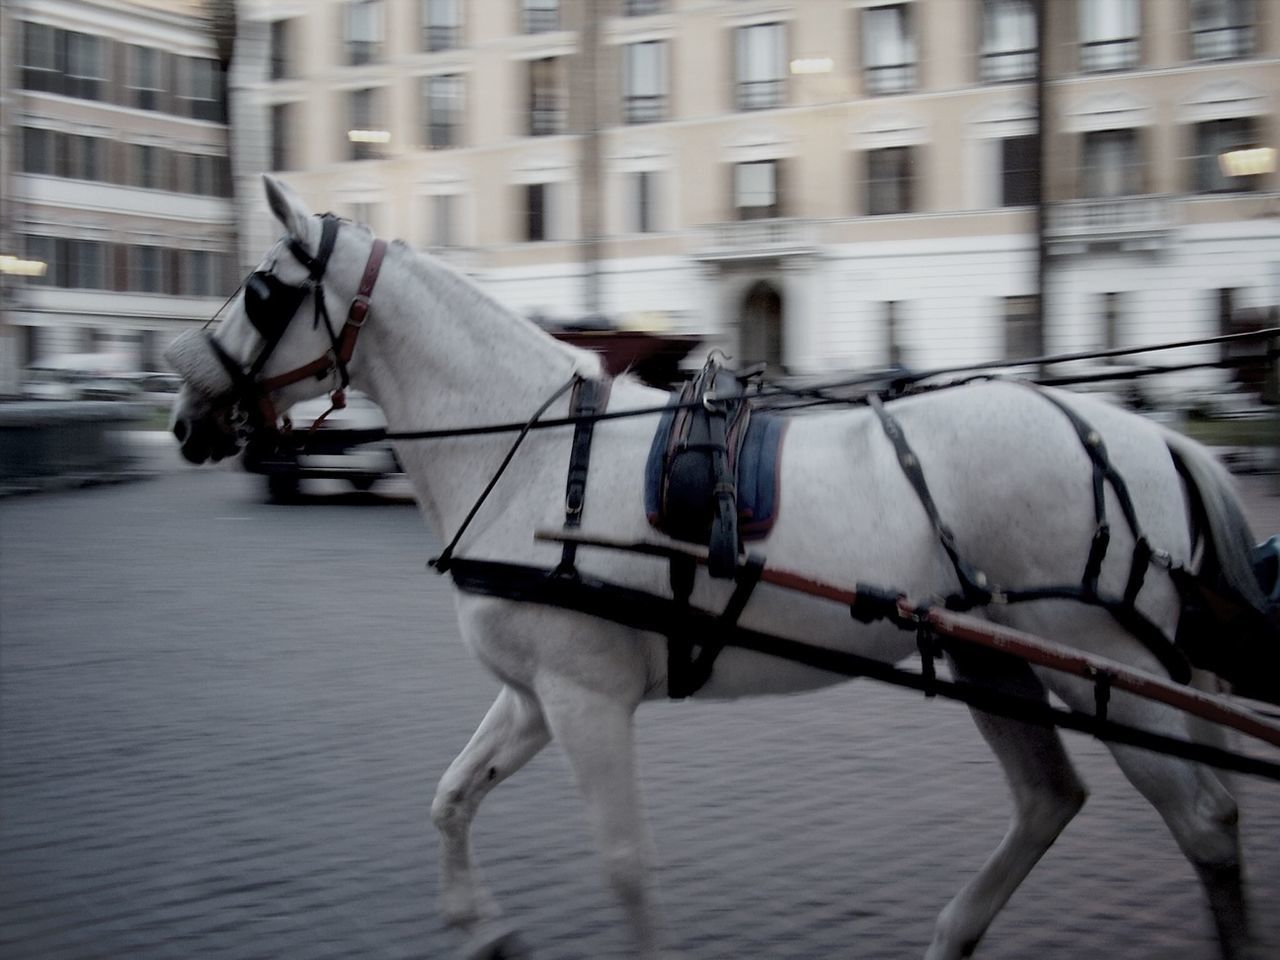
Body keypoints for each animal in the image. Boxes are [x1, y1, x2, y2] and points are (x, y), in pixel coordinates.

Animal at [167, 175, 1269, 960]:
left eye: (262, 290)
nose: (183, 412)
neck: (537, 457)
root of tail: (1144, 434)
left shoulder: (584, 699)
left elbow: (624, 866)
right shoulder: (533, 696)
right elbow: (450, 798)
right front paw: (481, 928)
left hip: (1100, 667)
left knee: (1206, 820)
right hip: (993, 657)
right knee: (1050, 800)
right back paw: (953, 933)